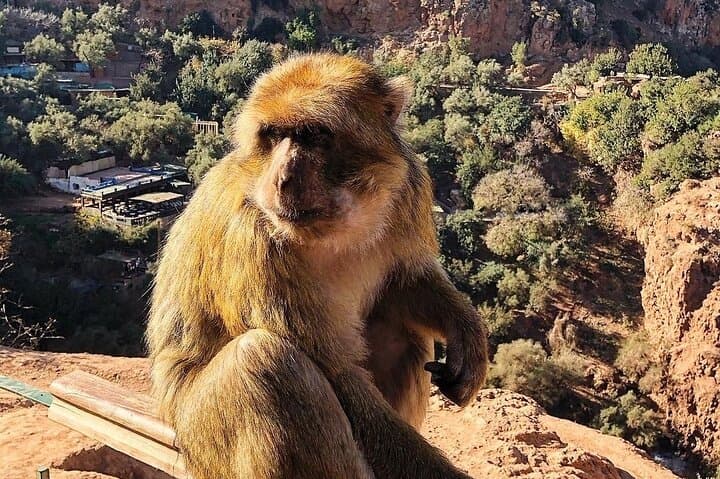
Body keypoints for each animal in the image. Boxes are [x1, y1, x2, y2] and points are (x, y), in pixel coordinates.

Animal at [146, 52, 488, 479]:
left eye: (313, 135)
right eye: (274, 135)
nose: (282, 179)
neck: (338, 221)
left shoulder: (410, 185)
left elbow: (406, 278)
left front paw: (467, 333)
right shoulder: (251, 239)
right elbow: (341, 379)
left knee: (401, 331)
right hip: (204, 440)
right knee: (265, 361)